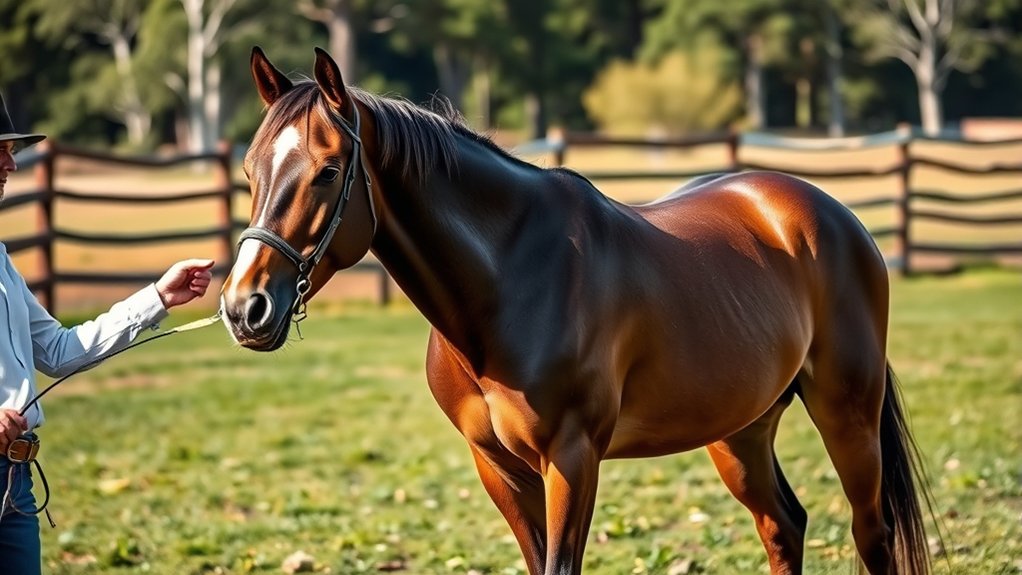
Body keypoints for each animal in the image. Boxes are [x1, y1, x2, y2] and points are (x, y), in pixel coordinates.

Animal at [220, 47, 933, 575]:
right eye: (251, 172)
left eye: (329, 170)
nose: (245, 307)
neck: (508, 279)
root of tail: (830, 213)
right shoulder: (498, 467)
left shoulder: (571, 456)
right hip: (741, 429)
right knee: (783, 526)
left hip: (847, 413)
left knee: (871, 534)